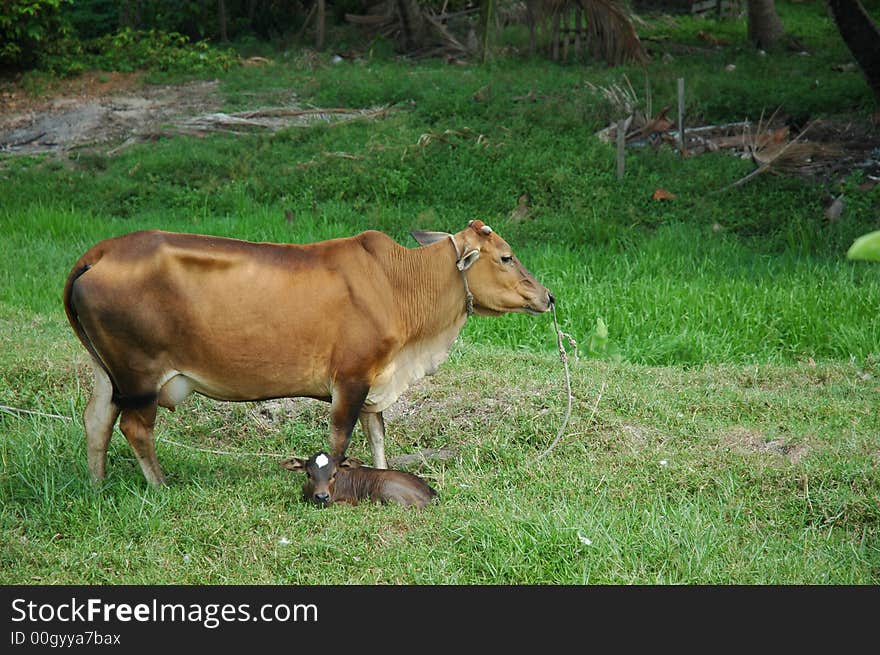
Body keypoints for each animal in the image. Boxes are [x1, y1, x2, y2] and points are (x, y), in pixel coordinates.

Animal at [65, 223, 552, 484]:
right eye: (506, 257)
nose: (547, 296)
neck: (397, 283)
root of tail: (99, 252)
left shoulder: (376, 377)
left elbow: (377, 435)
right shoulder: (351, 378)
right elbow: (341, 439)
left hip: (109, 372)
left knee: (96, 419)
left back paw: (97, 484)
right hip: (140, 374)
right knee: (134, 428)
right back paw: (161, 486)